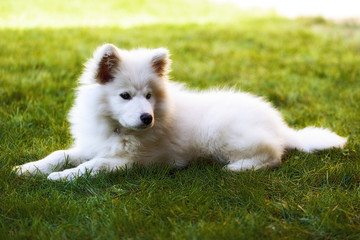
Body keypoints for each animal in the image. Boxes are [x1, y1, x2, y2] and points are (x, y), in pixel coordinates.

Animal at [13, 44, 346, 181]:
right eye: (125, 96)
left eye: (149, 96)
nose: (147, 118)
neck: (118, 130)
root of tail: (280, 125)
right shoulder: (92, 144)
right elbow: (58, 154)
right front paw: (28, 169)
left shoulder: (132, 161)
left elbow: (92, 167)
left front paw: (61, 177)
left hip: (224, 134)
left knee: (273, 155)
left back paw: (237, 168)